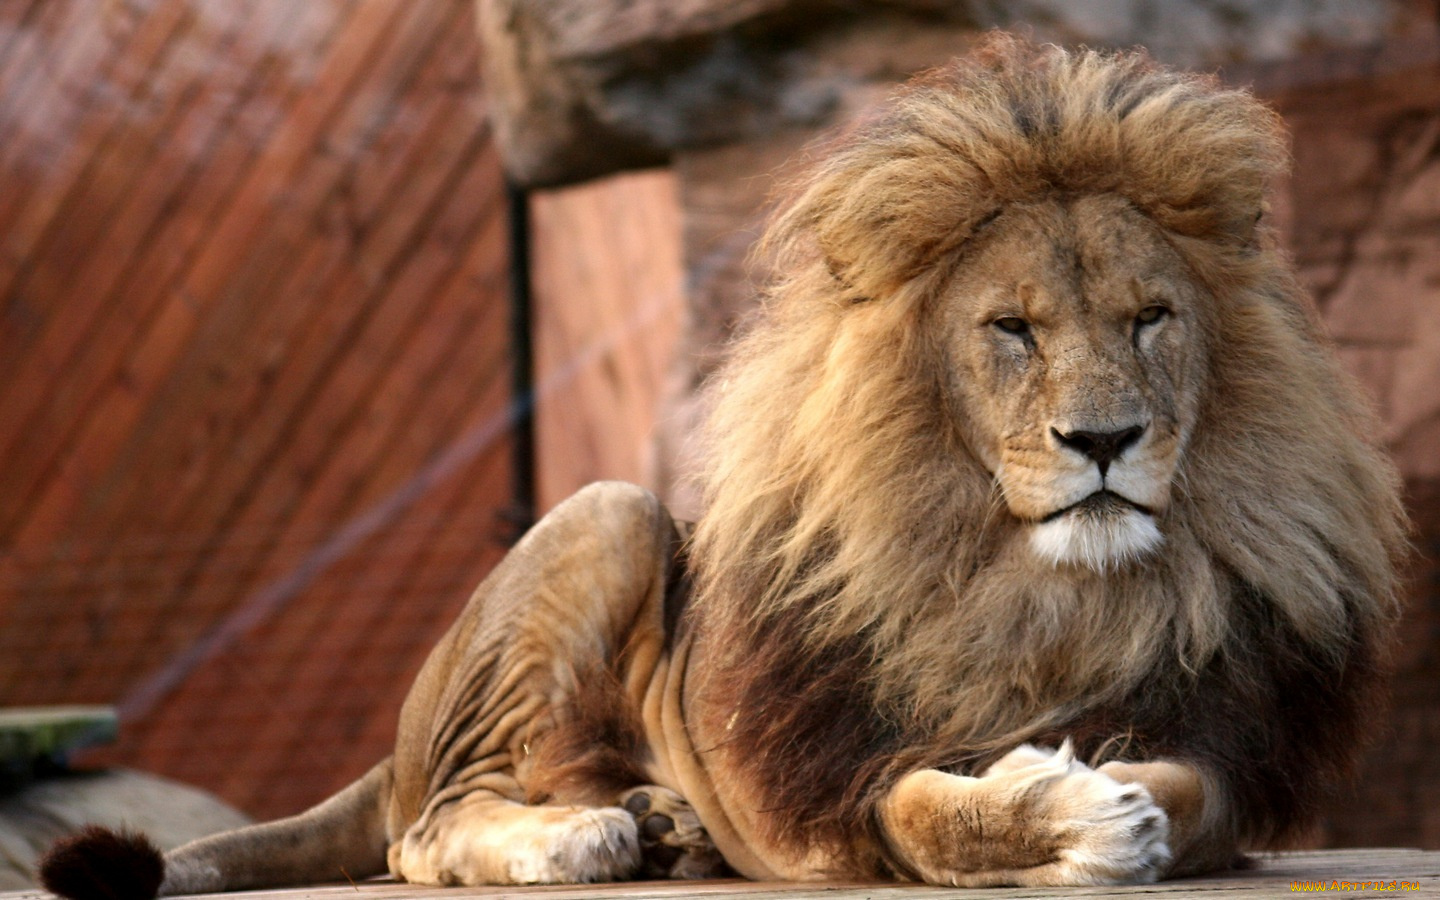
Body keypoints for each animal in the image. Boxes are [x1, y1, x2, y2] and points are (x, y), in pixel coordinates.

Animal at [39, 31, 1399, 892]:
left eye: (1151, 319)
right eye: (1012, 329)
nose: (1104, 440)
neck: (1038, 586)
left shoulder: (1221, 737)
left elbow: (1180, 790)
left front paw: (1107, 806)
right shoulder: (858, 770)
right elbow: (933, 811)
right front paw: (1069, 815)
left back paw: (660, 824)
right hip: (609, 511)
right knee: (428, 831)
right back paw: (584, 838)